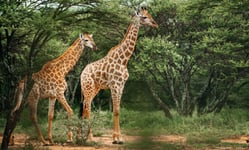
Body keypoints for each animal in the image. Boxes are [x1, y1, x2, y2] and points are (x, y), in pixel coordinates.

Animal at [80, 7, 158, 144]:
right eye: (144, 17)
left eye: (149, 15)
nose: (155, 24)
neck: (124, 60)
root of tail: (82, 73)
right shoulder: (115, 85)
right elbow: (115, 111)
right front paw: (116, 139)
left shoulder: (121, 85)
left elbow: (118, 110)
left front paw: (120, 138)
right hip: (88, 88)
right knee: (87, 108)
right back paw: (89, 138)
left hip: (94, 89)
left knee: (85, 107)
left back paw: (84, 136)